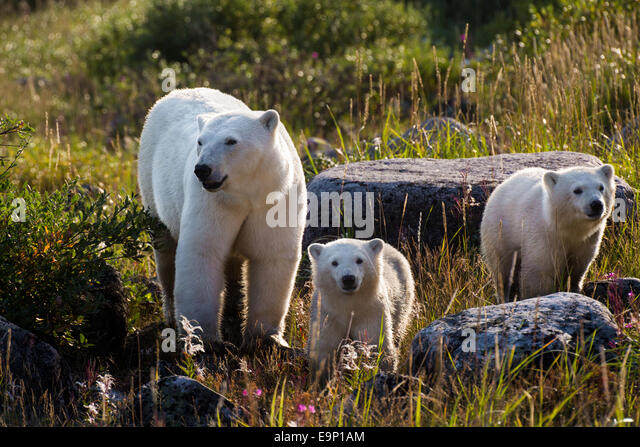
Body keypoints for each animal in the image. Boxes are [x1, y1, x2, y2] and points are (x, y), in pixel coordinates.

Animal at [138, 87, 308, 350]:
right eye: (200, 142)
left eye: (231, 141)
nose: (202, 169)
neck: (246, 194)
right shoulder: (213, 202)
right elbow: (203, 251)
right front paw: (205, 338)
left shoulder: (275, 199)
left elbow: (271, 255)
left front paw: (266, 338)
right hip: (151, 183)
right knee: (165, 252)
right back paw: (171, 314)